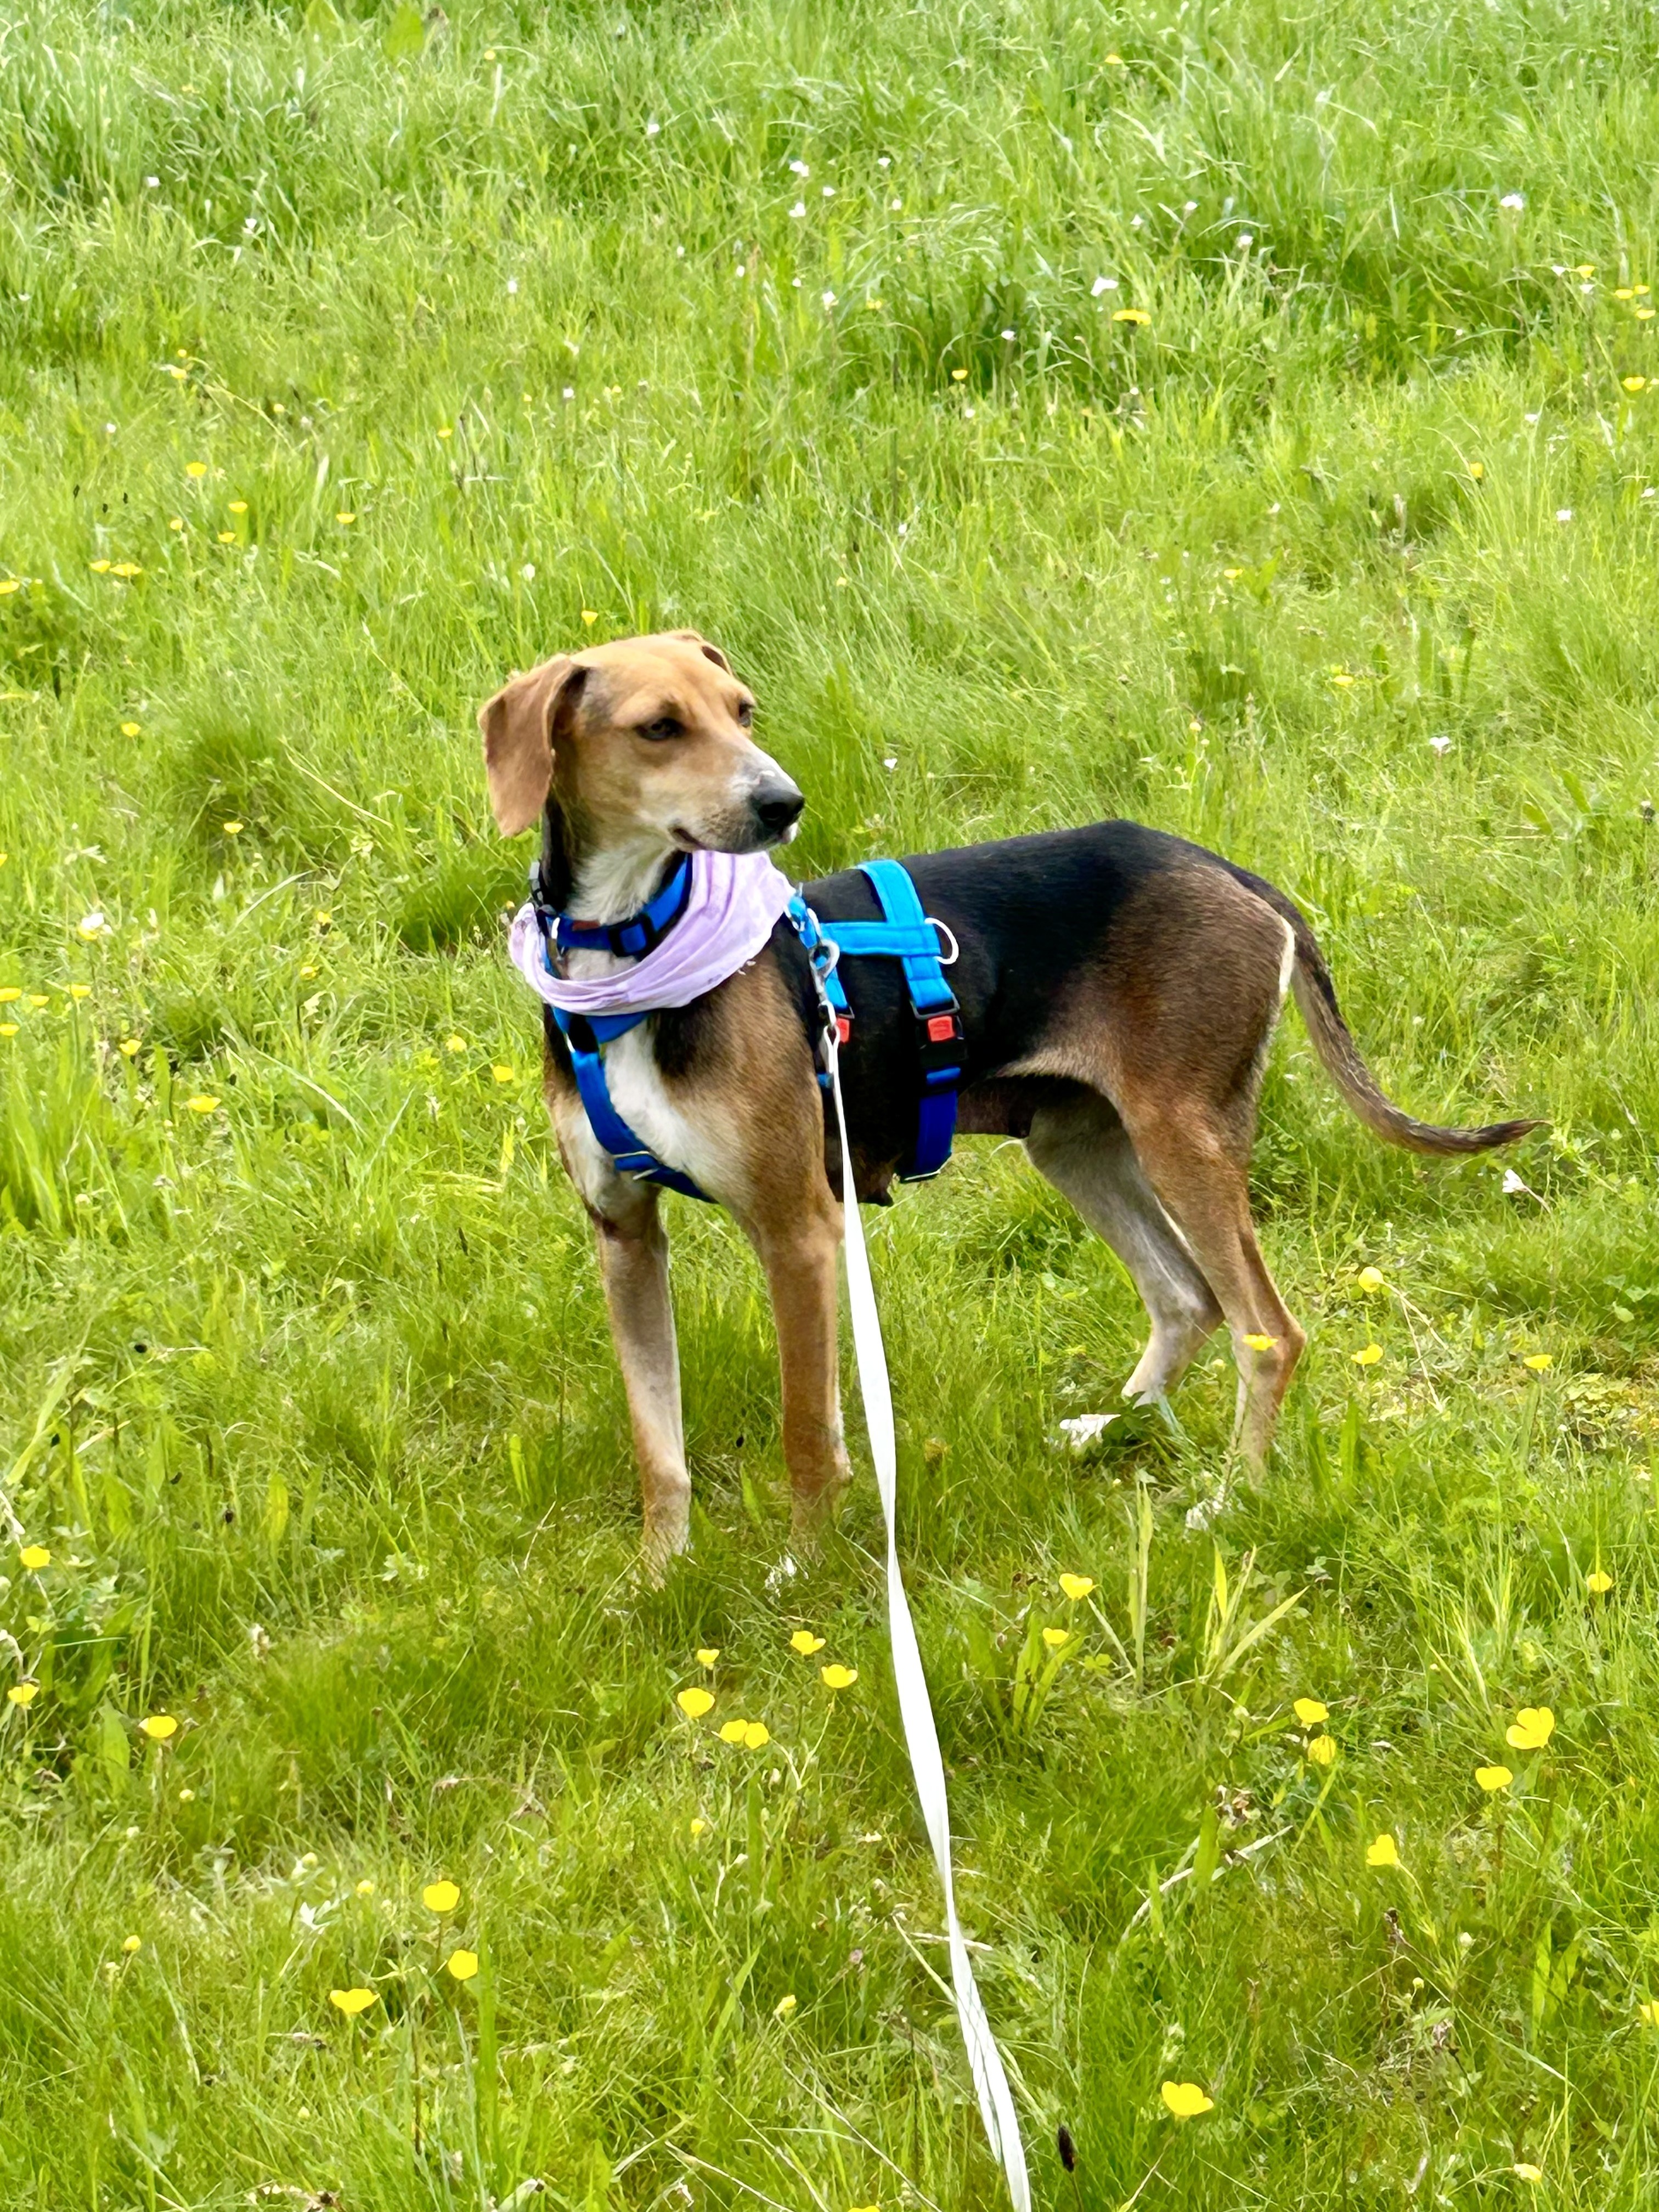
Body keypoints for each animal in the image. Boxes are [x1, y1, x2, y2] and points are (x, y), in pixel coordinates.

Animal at [480, 629, 1539, 1571]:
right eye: (659, 728)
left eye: (742, 712)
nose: (782, 803)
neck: (630, 953)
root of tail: (1230, 872)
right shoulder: (624, 1232)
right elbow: (656, 1446)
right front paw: (659, 1575)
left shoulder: (797, 1230)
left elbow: (806, 1434)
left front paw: (802, 1572)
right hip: (1076, 1146)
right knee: (1184, 1297)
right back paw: (1108, 1431)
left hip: (1181, 1142)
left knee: (1268, 1334)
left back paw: (1229, 1498)